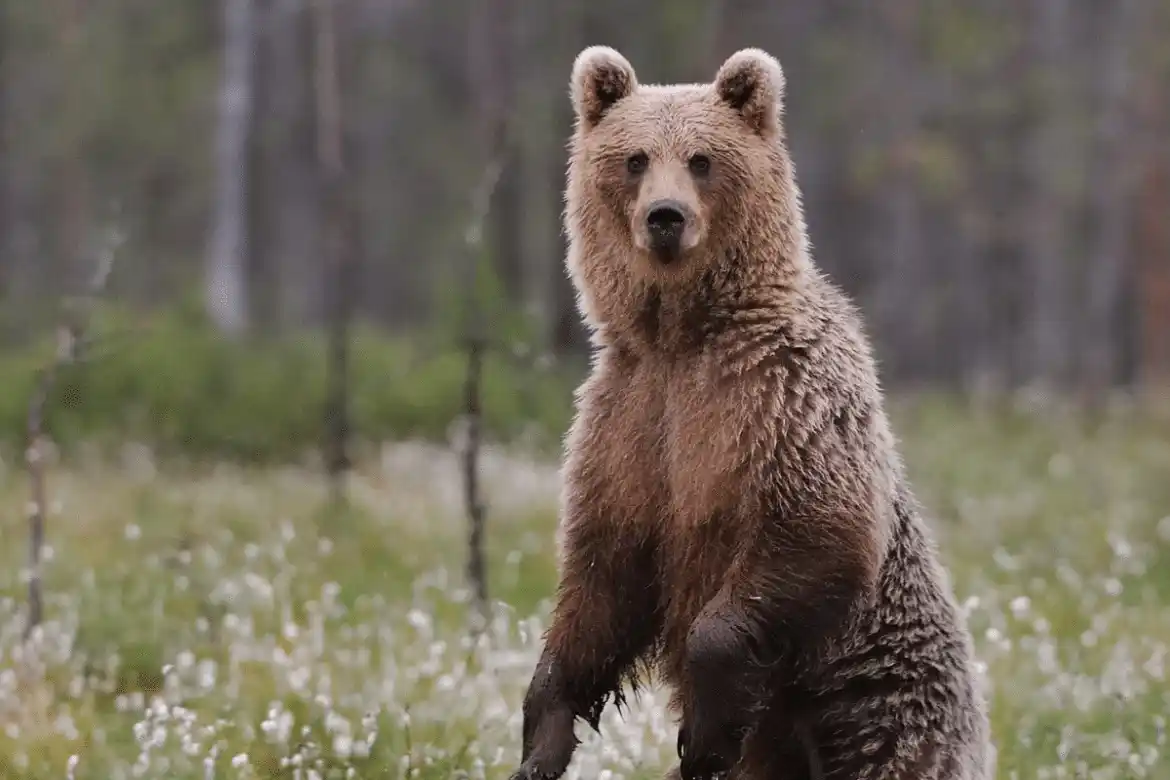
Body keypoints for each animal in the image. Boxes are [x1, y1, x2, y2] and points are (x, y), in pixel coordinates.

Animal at [509, 45, 993, 780]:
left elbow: (815, 530)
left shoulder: (782, 401)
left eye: (702, 159)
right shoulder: (627, 421)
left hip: (882, 707)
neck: (682, 338)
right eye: (636, 158)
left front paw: (704, 733)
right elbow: (603, 580)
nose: (666, 217)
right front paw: (544, 734)